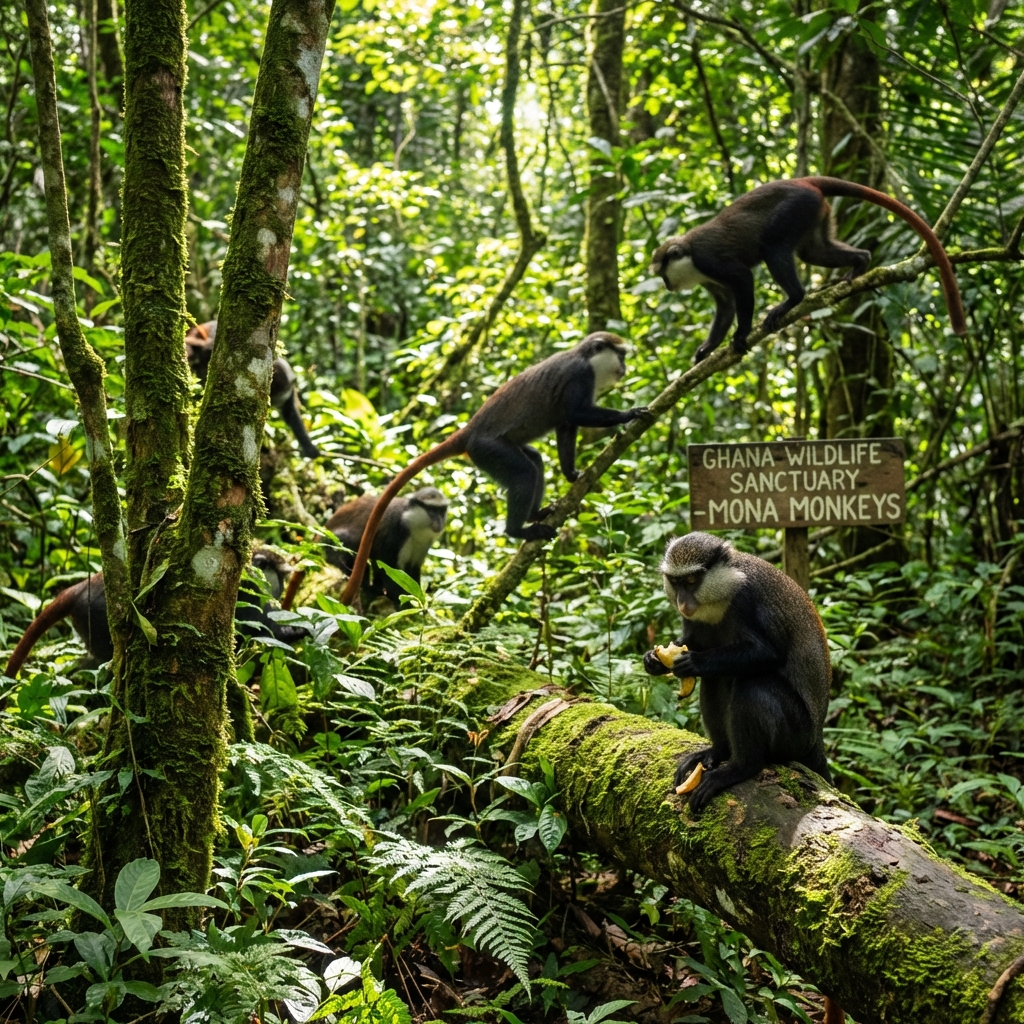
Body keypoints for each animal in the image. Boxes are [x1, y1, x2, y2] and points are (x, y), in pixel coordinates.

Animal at [3, 549, 307, 678]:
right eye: (279, 577)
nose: (281, 590)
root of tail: (79, 589)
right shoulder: (247, 597)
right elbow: (265, 628)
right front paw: (300, 629)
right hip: (95, 617)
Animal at [337, 332, 648, 606]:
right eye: (620, 355)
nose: (625, 367)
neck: (585, 358)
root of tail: (469, 432)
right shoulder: (580, 377)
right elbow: (575, 414)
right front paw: (629, 414)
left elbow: (566, 426)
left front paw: (571, 474)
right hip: (487, 450)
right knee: (524, 473)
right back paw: (518, 530)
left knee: (535, 461)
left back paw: (535, 514)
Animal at [643, 531, 832, 813]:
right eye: (676, 582)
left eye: (692, 580)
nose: (683, 603)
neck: (724, 588)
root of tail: (816, 741)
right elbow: (692, 641)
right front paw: (653, 660)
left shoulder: (745, 599)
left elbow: (767, 653)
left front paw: (694, 662)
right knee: (716, 678)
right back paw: (718, 752)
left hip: (797, 735)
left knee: (753, 685)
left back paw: (740, 768)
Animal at [649, 176, 967, 363]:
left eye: (663, 274)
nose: (665, 285)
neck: (688, 254)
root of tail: (802, 181)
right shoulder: (707, 277)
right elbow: (726, 304)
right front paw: (708, 348)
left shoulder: (709, 261)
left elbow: (743, 279)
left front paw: (741, 335)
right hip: (815, 212)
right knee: (813, 251)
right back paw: (860, 263)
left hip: (796, 207)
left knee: (773, 246)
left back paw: (794, 299)